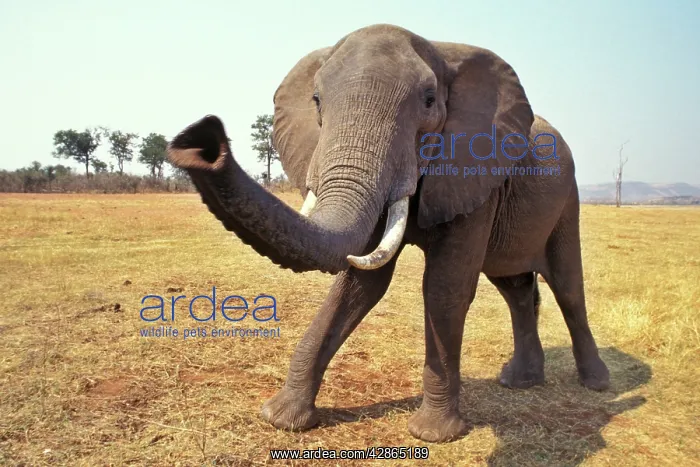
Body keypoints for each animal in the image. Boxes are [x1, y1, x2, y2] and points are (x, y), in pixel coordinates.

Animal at [167, 23, 610, 443]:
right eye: (316, 101)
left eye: (429, 100)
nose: (203, 140)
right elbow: (361, 282)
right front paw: (282, 418)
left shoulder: (474, 171)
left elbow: (445, 288)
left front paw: (433, 433)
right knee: (515, 287)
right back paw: (519, 381)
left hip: (567, 201)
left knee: (568, 287)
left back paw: (597, 384)